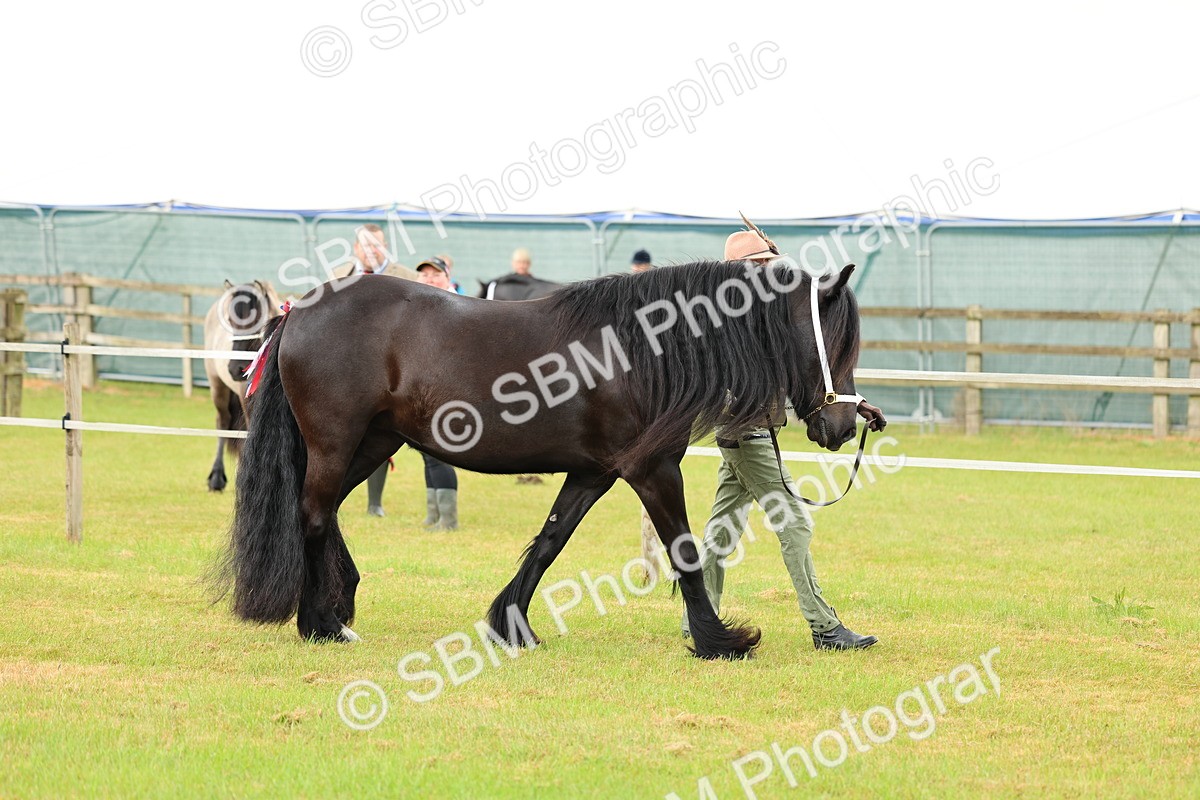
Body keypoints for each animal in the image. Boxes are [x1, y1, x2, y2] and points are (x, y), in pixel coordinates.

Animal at [203, 280, 281, 491]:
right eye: (230, 320)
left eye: (257, 319)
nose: (235, 368)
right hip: (218, 388)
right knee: (222, 422)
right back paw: (216, 477)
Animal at [215, 260, 862, 659]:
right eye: (834, 344)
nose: (843, 426)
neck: (641, 350)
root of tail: (299, 311)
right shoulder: (651, 470)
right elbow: (682, 550)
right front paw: (718, 641)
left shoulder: (594, 472)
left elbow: (551, 541)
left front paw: (511, 624)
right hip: (336, 442)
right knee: (312, 515)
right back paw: (319, 624)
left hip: (372, 443)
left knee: (322, 513)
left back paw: (337, 606)